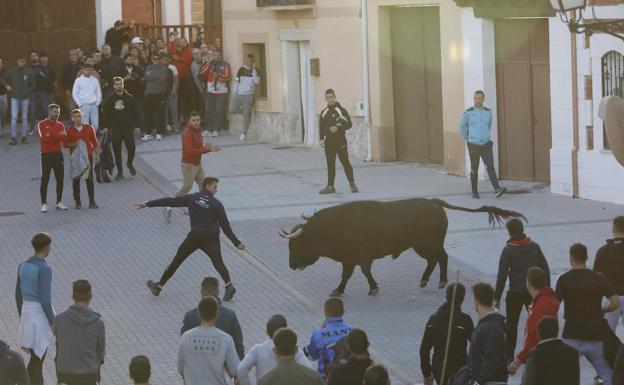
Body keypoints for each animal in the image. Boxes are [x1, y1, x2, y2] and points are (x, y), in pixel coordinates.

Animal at [280, 196, 524, 296]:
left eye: (296, 245)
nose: (290, 265)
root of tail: (434, 202)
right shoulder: (349, 258)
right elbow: (346, 275)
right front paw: (338, 290)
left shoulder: (363, 255)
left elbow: (364, 271)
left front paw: (373, 288)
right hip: (422, 245)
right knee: (435, 260)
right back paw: (425, 280)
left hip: (426, 244)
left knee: (441, 258)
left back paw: (441, 281)